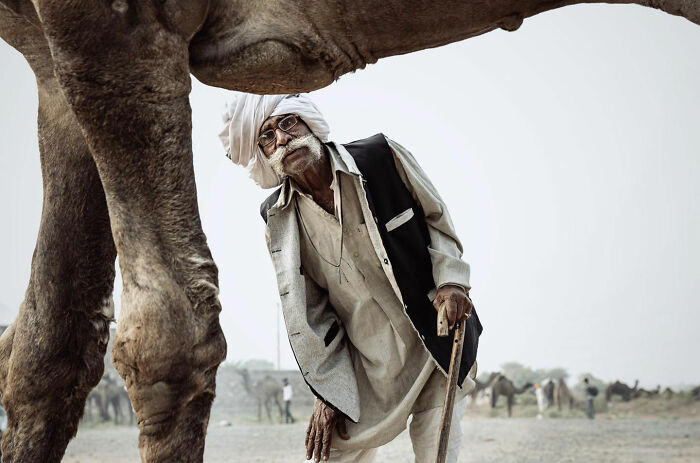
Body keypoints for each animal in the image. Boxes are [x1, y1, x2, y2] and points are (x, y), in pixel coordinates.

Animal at [0, 1, 697, 461]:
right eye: (268, 135)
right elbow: (47, 345)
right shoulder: (48, 56)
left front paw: (450, 294)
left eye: (284, 125)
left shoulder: (121, 23)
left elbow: (164, 335)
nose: (281, 136)